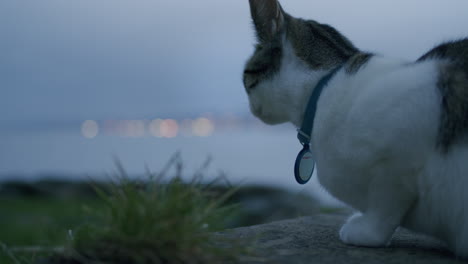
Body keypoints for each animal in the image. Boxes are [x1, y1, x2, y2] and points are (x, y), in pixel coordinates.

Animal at [241, 0, 468, 256]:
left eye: (245, 78)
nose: (250, 109)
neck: (323, 89)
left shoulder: (400, 159)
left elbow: (386, 204)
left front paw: (367, 232)